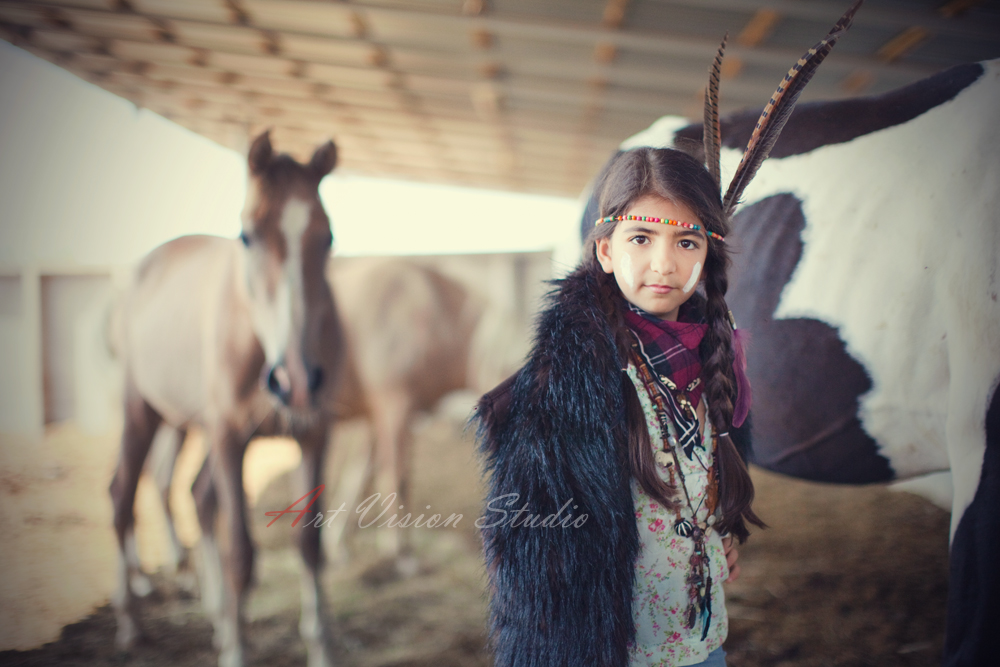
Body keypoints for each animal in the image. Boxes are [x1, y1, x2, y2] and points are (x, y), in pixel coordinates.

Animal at [109, 130, 342, 667]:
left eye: (327, 237)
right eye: (247, 236)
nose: (296, 381)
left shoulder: (315, 436)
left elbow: (309, 543)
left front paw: (319, 645)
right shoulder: (230, 438)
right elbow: (240, 552)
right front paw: (236, 650)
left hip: (186, 425)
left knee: (196, 497)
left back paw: (215, 615)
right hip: (142, 413)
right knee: (123, 497)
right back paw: (131, 623)